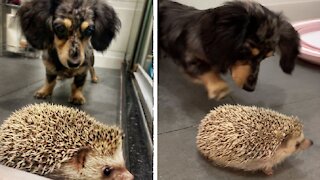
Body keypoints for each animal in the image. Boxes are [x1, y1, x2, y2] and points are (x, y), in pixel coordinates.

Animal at [159, 0, 300, 100]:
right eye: (246, 52)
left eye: (265, 58)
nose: (250, 88)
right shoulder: (187, 54)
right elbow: (204, 68)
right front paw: (218, 86)